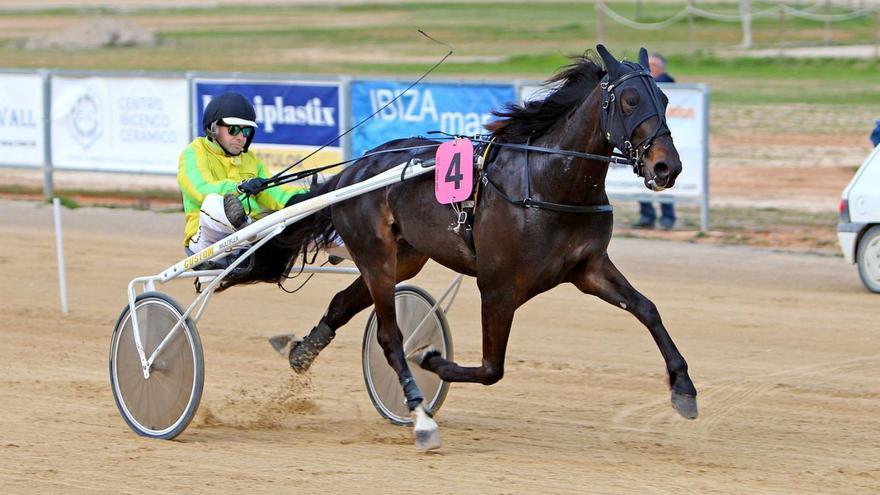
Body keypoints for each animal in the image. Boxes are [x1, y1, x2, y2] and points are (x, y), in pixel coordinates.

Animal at [230, 44, 696, 452]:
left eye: (665, 98)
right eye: (631, 100)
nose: (666, 167)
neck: (548, 181)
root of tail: (354, 170)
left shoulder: (589, 268)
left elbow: (648, 309)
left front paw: (684, 389)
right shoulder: (498, 286)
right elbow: (492, 369)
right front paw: (431, 360)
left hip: (403, 259)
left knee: (343, 303)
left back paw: (301, 351)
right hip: (376, 255)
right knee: (389, 337)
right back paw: (419, 414)